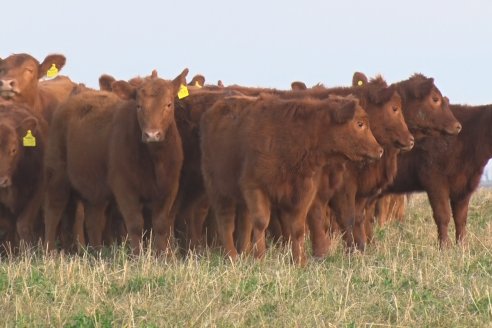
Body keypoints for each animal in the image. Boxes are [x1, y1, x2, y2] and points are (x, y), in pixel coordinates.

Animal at [44, 69, 187, 254]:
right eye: (139, 106)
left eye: (168, 104)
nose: (152, 134)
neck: (155, 161)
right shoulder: (124, 188)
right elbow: (135, 225)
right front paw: (137, 255)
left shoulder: (169, 188)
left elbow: (161, 225)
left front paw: (162, 255)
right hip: (57, 175)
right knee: (53, 211)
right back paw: (50, 252)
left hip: (94, 189)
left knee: (93, 221)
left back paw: (96, 253)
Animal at [201, 93, 384, 264]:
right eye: (359, 124)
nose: (379, 150)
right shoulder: (255, 186)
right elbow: (260, 222)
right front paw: (259, 257)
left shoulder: (304, 191)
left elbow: (297, 227)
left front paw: (299, 261)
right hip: (218, 189)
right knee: (226, 221)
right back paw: (231, 256)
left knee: (244, 221)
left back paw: (243, 253)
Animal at [386, 104, 492, 247]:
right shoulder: (435, 182)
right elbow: (443, 216)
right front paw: (444, 246)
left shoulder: (463, 187)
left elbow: (461, 218)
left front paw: (462, 246)